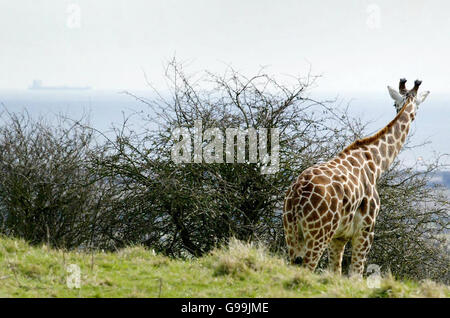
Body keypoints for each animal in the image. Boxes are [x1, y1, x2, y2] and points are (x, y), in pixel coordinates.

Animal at [284, 79, 430, 276]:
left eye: (395, 104)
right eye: (418, 106)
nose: (413, 116)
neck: (375, 163)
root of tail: (297, 196)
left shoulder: (339, 237)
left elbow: (335, 272)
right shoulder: (365, 231)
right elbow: (356, 275)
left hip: (291, 233)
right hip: (318, 234)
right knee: (308, 267)